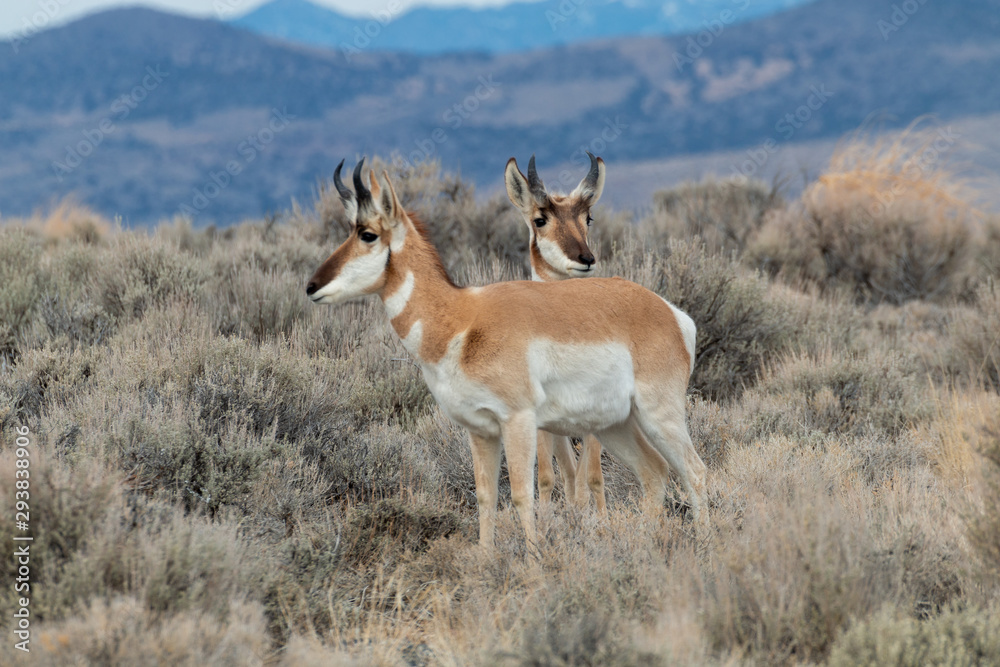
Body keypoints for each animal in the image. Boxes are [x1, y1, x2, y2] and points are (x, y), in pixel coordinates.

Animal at [306, 158, 707, 548]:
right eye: (349, 229)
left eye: (368, 234)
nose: (311, 286)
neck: (462, 318)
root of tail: (670, 312)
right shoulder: (480, 431)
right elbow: (486, 497)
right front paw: (487, 561)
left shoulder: (518, 422)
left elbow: (521, 494)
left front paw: (534, 564)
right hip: (615, 425)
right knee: (654, 472)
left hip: (659, 415)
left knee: (695, 471)